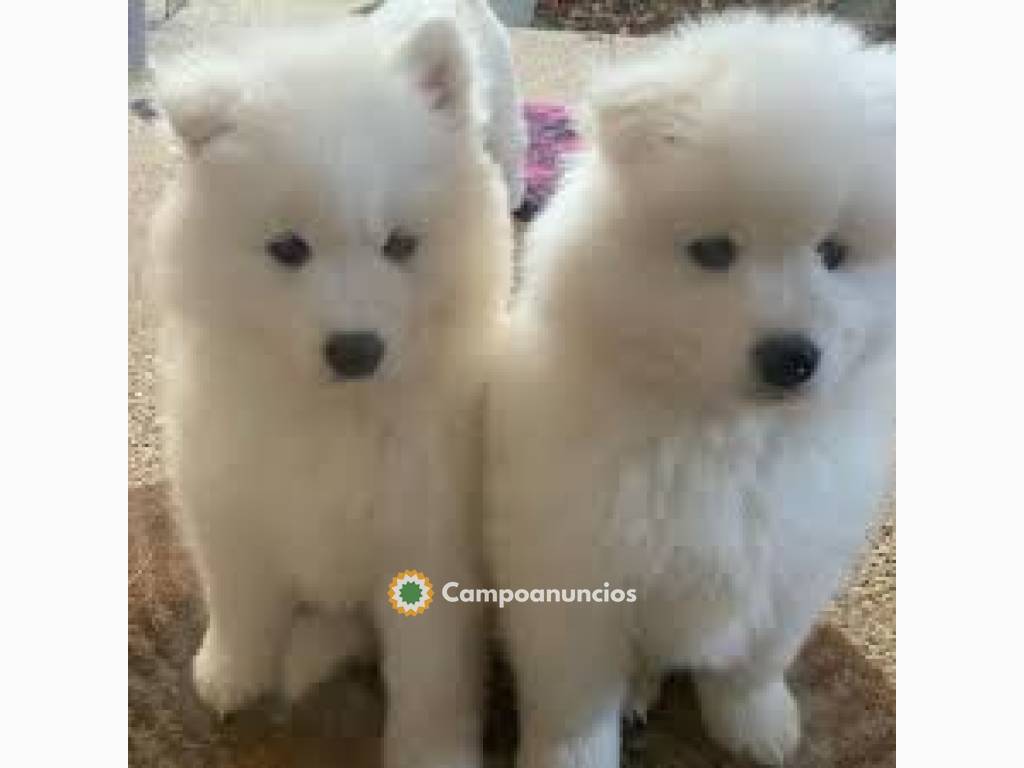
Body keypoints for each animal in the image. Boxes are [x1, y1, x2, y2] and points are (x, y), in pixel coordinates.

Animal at [151, 18, 512, 768]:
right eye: (288, 248)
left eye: (401, 244)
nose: (356, 350)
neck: (335, 416)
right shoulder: (231, 506)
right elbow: (241, 603)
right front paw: (233, 674)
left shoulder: (430, 538)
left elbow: (429, 674)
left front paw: (430, 751)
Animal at [487, 12, 897, 768]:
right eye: (712, 252)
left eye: (833, 253)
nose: (791, 357)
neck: (720, 435)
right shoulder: (569, 571)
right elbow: (574, 700)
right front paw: (573, 754)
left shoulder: (792, 566)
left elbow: (754, 665)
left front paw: (757, 726)